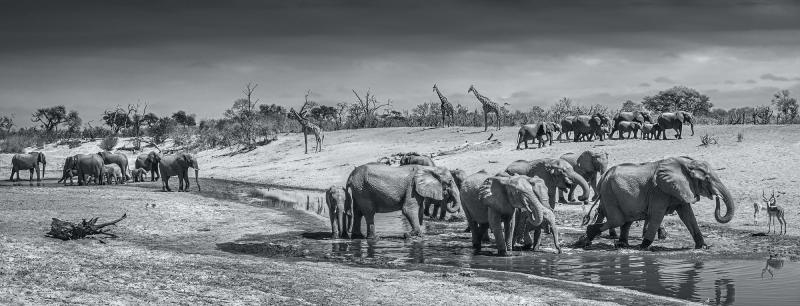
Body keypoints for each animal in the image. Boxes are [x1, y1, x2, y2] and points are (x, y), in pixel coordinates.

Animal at [576, 157, 736, 250]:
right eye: (707, 178)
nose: (717, 197)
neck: (685, 164)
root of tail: (604, 176)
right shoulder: (659, 191)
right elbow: (657, 214)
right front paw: (643, 246)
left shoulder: (678, 189)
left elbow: (688, 215)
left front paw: (703, 247)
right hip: (609, 193)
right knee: (618, 220)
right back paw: (587, 237)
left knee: (625, 221)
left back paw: (619, 244)